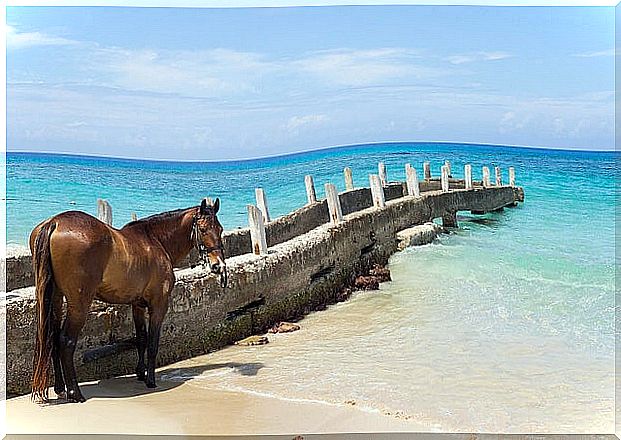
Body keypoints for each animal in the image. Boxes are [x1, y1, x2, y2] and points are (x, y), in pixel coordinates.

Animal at [29, 199, 226, 402]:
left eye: (220, 229)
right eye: (203, 229)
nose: (218, 265)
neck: (155, 241)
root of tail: (55, 222)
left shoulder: (137, 305)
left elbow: (141, 339)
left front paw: (141, 373)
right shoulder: (159, 305)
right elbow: (152, 343)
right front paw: (150, 380)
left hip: (55, 298)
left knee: (52, 338)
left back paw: (60, 388)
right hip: (79, 304)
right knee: (66, 341)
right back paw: (74, 392)